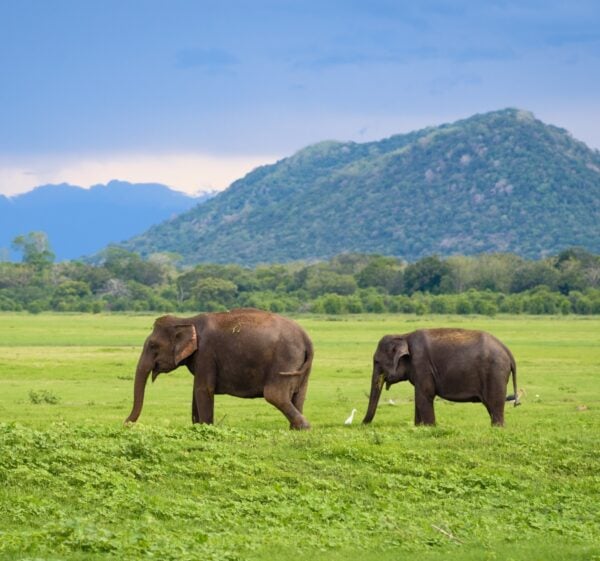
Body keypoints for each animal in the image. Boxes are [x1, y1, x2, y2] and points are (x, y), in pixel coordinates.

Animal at [125, 308, 316, 426]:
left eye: (152, 345)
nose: (125, 424)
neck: (188, 320)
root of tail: (306, 337)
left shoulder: (206, 353)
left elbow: (203, 390)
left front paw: (206, 427)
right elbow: (196, 392)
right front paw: (196, 427)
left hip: (284, 359)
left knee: (275, 395)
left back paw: (304, 427)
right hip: (302, 367)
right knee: (299, 395)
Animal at [360, 326, 520, 426]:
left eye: (376, 361)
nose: (361, 425)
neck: (404, 335)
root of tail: (508, 352)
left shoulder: (421, 364)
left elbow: (424, 395)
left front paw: (429, 427)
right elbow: (419, 397)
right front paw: (419, 427)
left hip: (495, 374)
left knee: (494, 406)